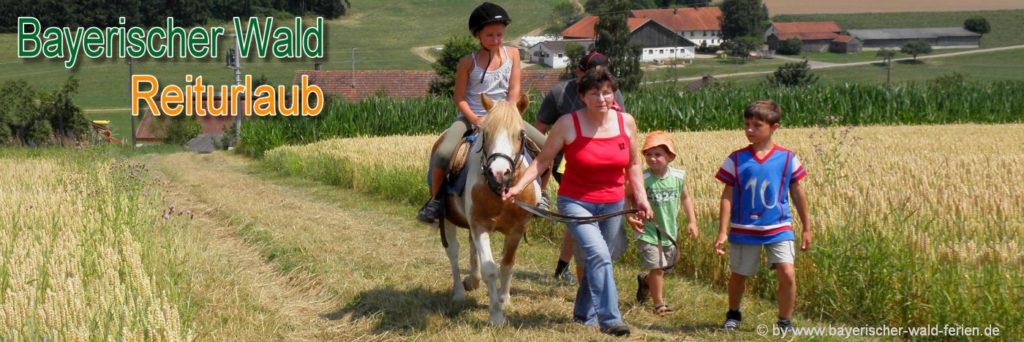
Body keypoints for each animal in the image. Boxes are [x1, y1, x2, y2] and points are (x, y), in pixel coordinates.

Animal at [430, 93, 540, 325]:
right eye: (486, 133)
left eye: (520, 133)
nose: (499, 172)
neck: (501, 191)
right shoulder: (480, 225)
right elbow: (490, 269)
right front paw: (496, 315)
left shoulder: (517, 229)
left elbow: (507, 264)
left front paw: (504, 300)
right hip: (449, 219)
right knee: (453, 253)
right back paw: (459, 292)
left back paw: (472, 280)